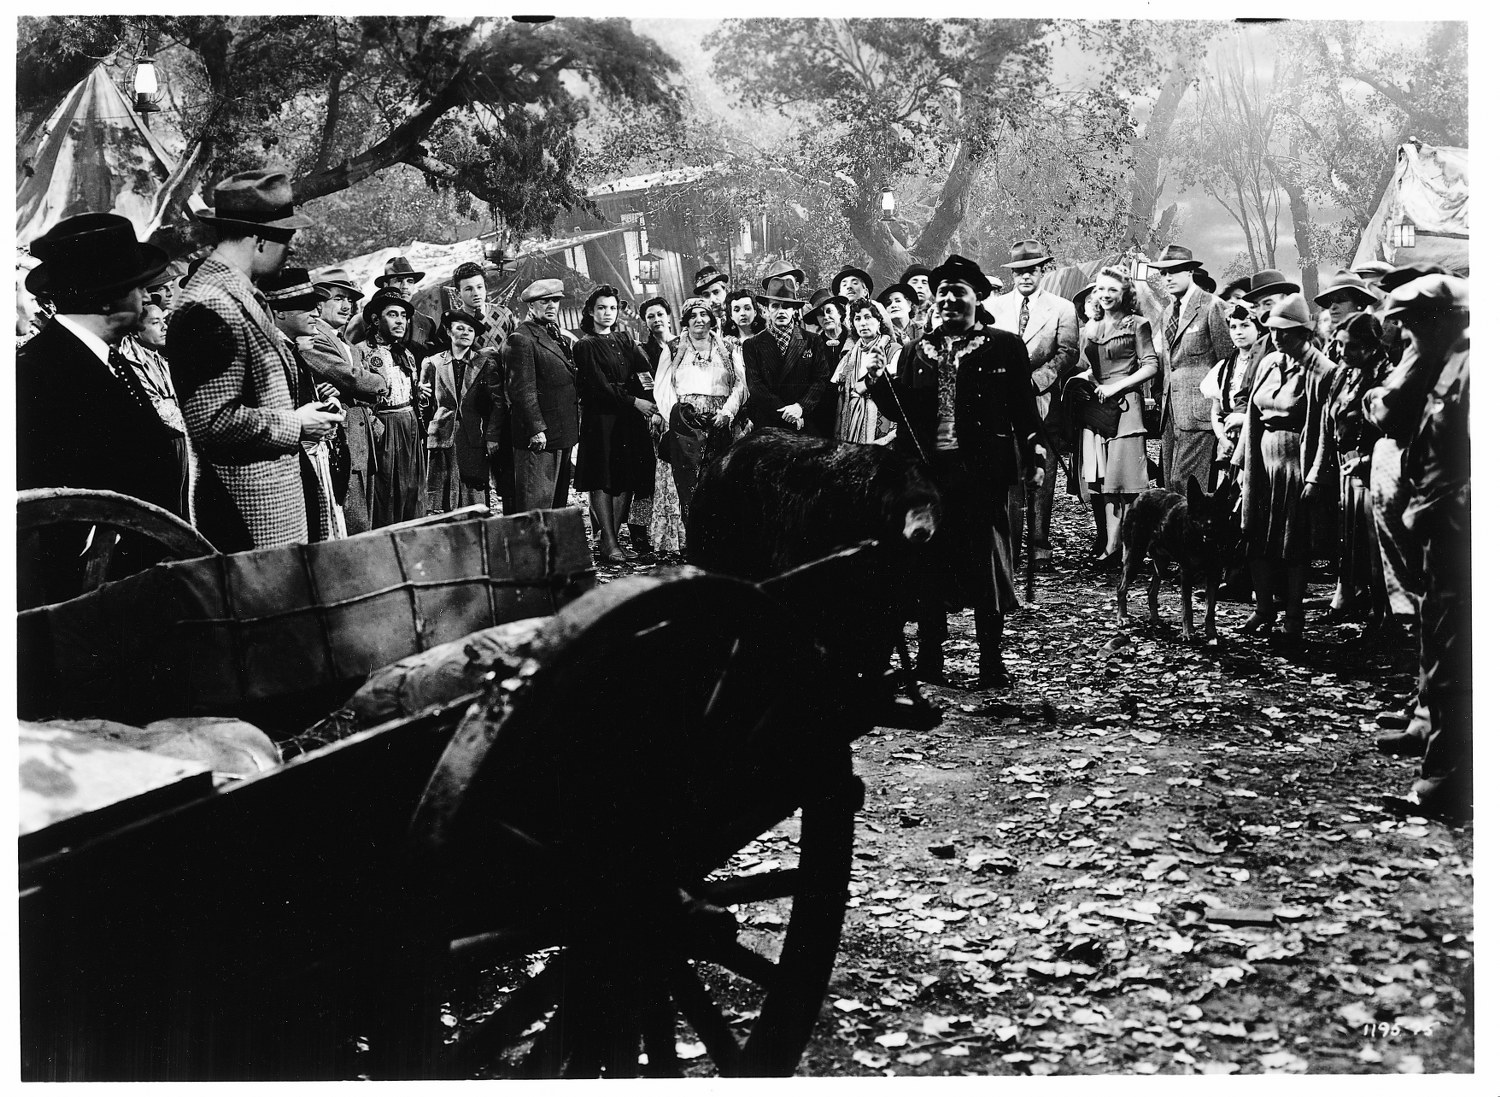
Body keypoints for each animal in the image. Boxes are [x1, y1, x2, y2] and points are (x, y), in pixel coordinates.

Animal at [1116, 478, 1241, 641]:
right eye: (1200, 511)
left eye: (1216, 510)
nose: (1210, 527)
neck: (1203, 544)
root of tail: (1141, 496)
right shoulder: (1186, 574)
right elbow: (1187, 608)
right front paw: (1188, 632)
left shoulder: (1214, 575)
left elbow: (1210, 610)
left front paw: (1212, 633)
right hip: (1134, 557)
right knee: (1121, 588)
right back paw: (1122, 617)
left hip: (1161, 564)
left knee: (1151, 592)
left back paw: (1155, 619)